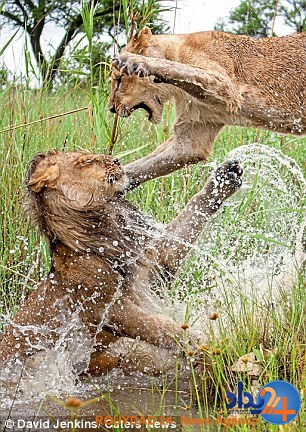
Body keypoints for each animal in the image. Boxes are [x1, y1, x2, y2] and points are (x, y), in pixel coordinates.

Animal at [0, 149, 243, 378]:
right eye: (86, 161)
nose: (117, 160)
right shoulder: (107, 308)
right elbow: (159, 327)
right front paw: (206, 343)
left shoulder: (157, 267)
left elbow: (191, 215)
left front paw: (224, 177)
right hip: (40, 360)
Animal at [110, 27, 306, 188]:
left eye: (119, 80)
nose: (112, 108)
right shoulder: (193, 135)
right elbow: (141, 166)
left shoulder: (226, 86)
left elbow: (179, 67)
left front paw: (133, 60)